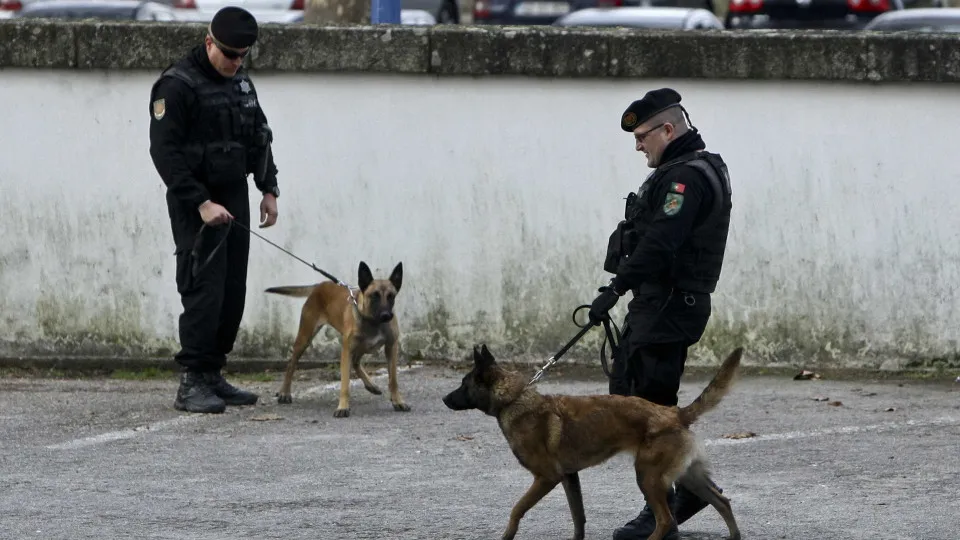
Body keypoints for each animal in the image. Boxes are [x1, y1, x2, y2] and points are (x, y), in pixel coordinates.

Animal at [264, 262, 410, 418]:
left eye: (391, 296)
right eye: (374, 296)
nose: (386, 315)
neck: (372, 321)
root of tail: (320, 285)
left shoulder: (391, 347)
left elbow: (393, 380)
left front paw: (398, 401)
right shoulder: (346, 350)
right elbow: (345, 384)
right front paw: (343, 407)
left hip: (361, 346)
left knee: (356, 362)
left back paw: (371, 385)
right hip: (305, 338)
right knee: (291, 364)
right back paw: (285, 392)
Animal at [442, 344, 744, 540]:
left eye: (463, 384)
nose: (444, 399)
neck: (514, 400)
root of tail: (674, 413)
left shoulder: (546, 478)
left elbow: (517, 509)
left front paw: (507, 535)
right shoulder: (569, 477)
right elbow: (578, 518)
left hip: (648, 478)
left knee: (666, 519)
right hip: (687, 477)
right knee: (722, 502)